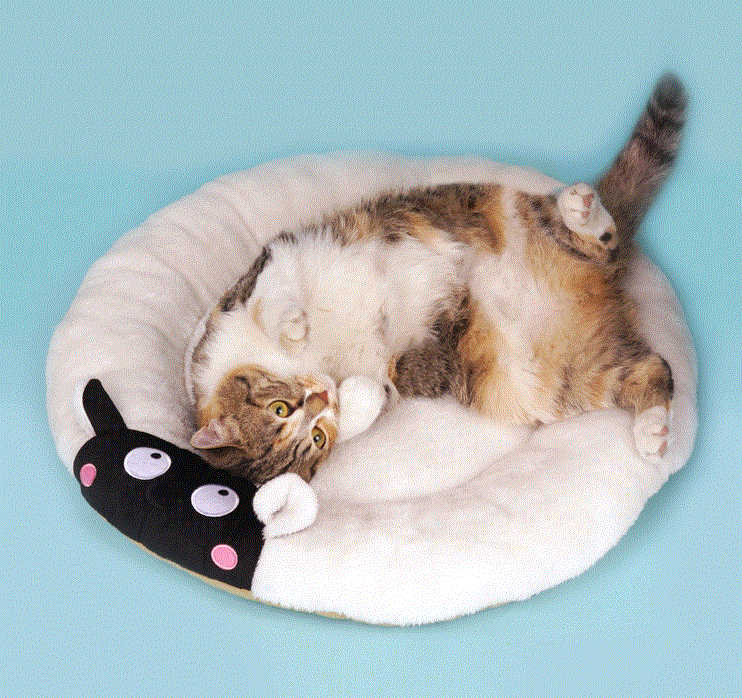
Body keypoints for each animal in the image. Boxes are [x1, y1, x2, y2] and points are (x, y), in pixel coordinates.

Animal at [189, 74, 686, 486]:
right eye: (315, 440)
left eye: (281, 408)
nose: (321, 396)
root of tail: (608, 286)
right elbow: (369, 401)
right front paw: (358, 391)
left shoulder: (259, 273)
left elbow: (270, 297)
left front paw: (292, 327)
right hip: (562, 378)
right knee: (652, 368)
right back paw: (652, 429)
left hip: (504, 210)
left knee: (600, 240)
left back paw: (582, 211)